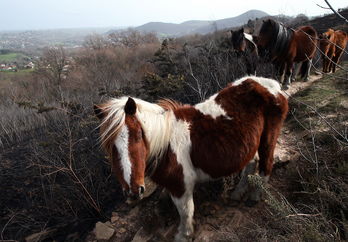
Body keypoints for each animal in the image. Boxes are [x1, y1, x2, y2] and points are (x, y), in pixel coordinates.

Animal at [92, 76, 288, 242]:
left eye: (139, 135)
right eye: (108, 146)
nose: (133, 191)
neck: (165, 144)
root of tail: (272, 84)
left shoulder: (181, 185)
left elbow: (186, 211)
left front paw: (184, 235)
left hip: (268, 140)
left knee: (266, 165)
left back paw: (255, 196)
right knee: (251, 163)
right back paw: (237, 194)